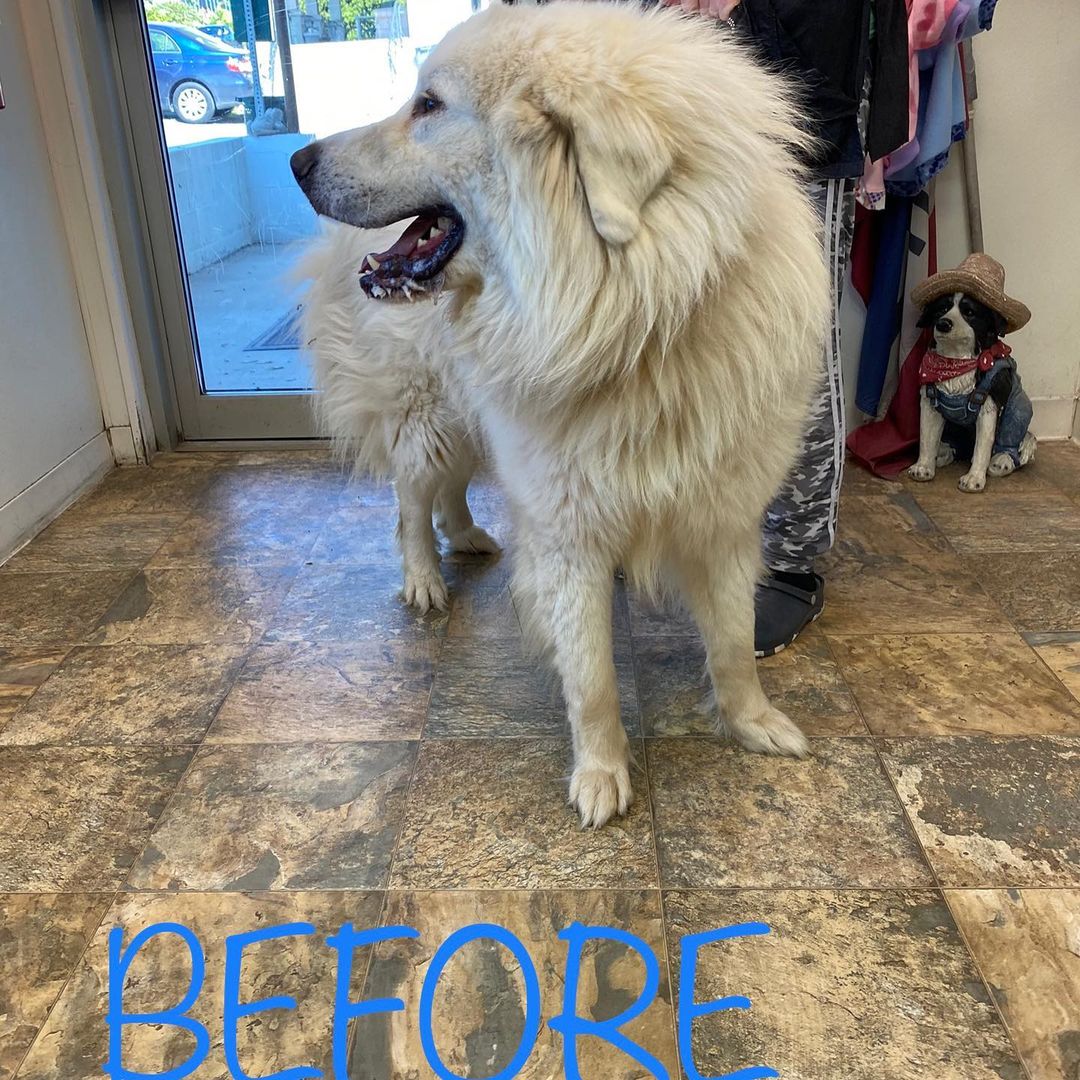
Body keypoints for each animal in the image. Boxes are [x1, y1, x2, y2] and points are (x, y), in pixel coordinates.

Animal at [293, 2, 825, 825]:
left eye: (429, 105)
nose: (297, 161)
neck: (643, 321)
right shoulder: (570, 531)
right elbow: (594, 677)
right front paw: (602, 776)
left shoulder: (723, 516)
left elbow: (734, 643)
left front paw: (752, 723)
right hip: (432, 420)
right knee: (409, 504)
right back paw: (425, 580)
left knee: (450, 494)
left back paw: (469, 536)